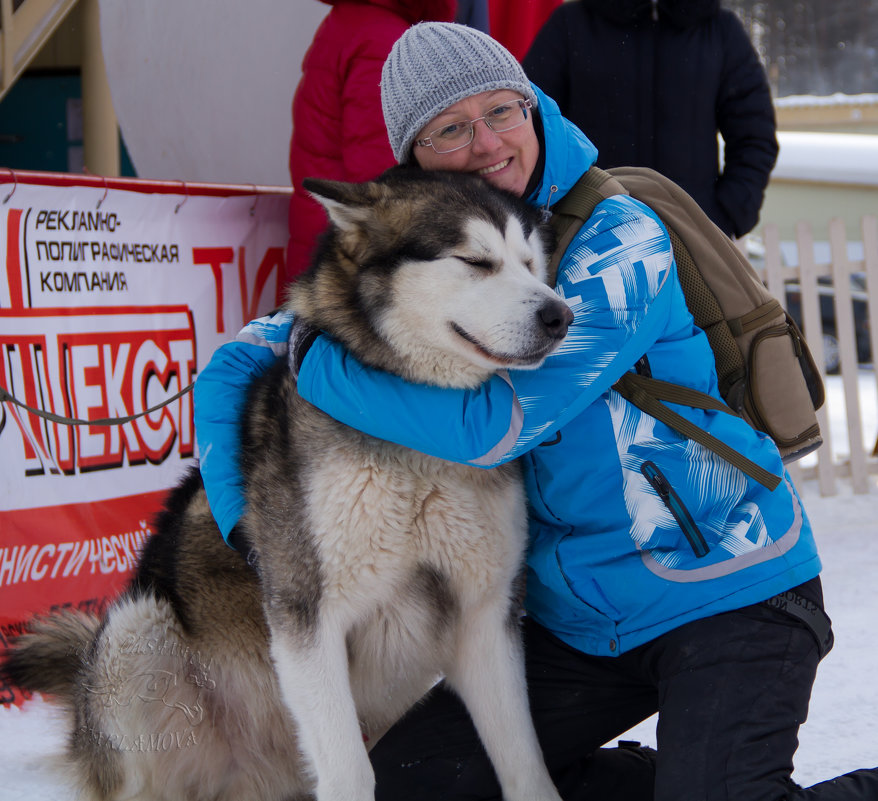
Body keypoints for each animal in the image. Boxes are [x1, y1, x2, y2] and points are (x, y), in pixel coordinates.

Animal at [3, 169, 576, 800]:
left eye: (531, 262)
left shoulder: (487, 613)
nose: (562, 316)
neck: (417, 426)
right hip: (136, 636)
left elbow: (524, 762)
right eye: (475, 261)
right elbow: (350, 772)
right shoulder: (307, 614)